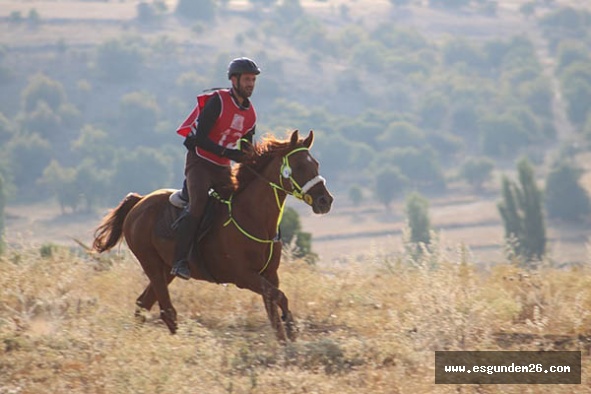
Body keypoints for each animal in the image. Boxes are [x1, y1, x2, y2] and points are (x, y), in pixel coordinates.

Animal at [92, 130, 332, 342]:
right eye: (299, 166)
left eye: (316, 164)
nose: (325, 201)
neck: (253, 217)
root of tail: (139, 201)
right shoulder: (244, 276)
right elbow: (280, 298)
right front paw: (291, 330)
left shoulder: (269, 275)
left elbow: (274, 312)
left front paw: (286, 344)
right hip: (151, 264)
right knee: (167, 311)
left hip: (165, 268)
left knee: (142, 304)